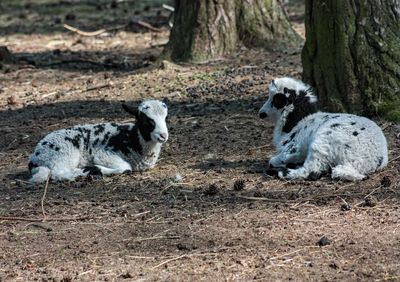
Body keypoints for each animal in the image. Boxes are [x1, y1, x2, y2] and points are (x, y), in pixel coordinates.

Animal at [28, 99, 169, 183]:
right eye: (147, 121)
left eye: (166, 118)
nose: (163, 136)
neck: (133, 138)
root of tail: (34, 159)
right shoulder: (104, 154)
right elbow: (126, 167)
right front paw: (96, 168)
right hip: (64, 153)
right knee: (58, 174)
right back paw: (84, 172)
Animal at [260, 76, 388, 181]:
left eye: (276, 100)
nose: (261, 113)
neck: (298, 121)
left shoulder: (295, 148)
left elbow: (273, 160)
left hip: (322, 141)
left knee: (311, 170)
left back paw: (283, 172)